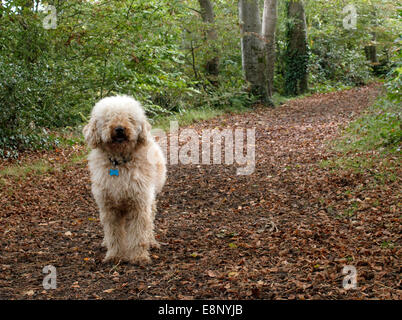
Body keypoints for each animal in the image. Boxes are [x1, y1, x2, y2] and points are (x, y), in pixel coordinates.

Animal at [83, 95, 166, 264]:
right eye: (108, 118)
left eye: (130, 118)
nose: (120, 129)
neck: (119, 162)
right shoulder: (109, 208)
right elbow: (113, 234)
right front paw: (114, 255)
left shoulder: (139, 205)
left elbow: (139, 234)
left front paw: (139, 257)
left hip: (149, 200)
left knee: (149, 223)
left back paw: (151, 241)